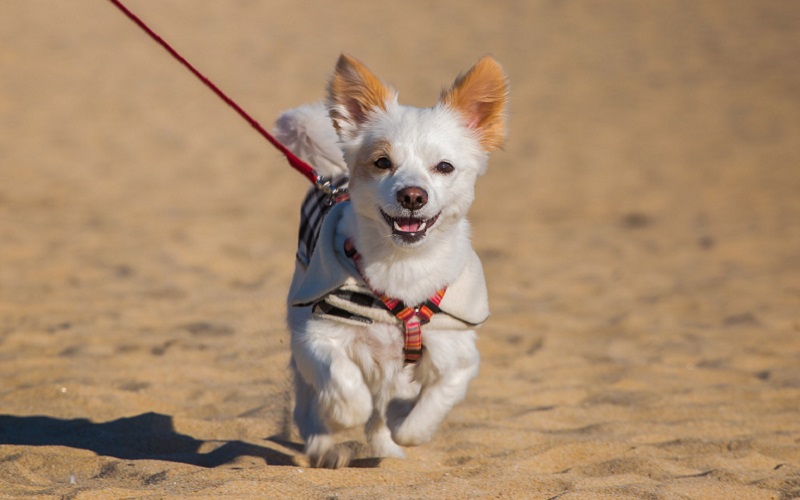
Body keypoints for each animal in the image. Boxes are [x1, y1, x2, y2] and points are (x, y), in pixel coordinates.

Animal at [276, 54, 506, 468]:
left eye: (444, 167)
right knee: (308, 405)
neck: (402, 267)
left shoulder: (458, 355)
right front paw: (343, 412)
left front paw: (404, 424)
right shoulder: (316, 336)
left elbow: (422, 414)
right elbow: (344, 386)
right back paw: (324, 445)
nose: (412, 196)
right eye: (382, 162)